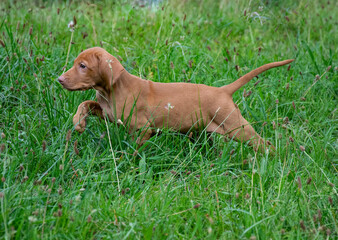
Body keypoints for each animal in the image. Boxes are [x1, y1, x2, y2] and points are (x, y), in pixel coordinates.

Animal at [59, 47, 294, 152]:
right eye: (76, 63)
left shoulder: (142, 129)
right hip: (204, 132)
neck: (112, 90)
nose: (59, 80)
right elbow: (85, 104)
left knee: (264, 144)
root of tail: (223, 91)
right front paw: (78, 122)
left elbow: (135, 150)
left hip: (237, 127)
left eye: (83, 66)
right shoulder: (107, 112)